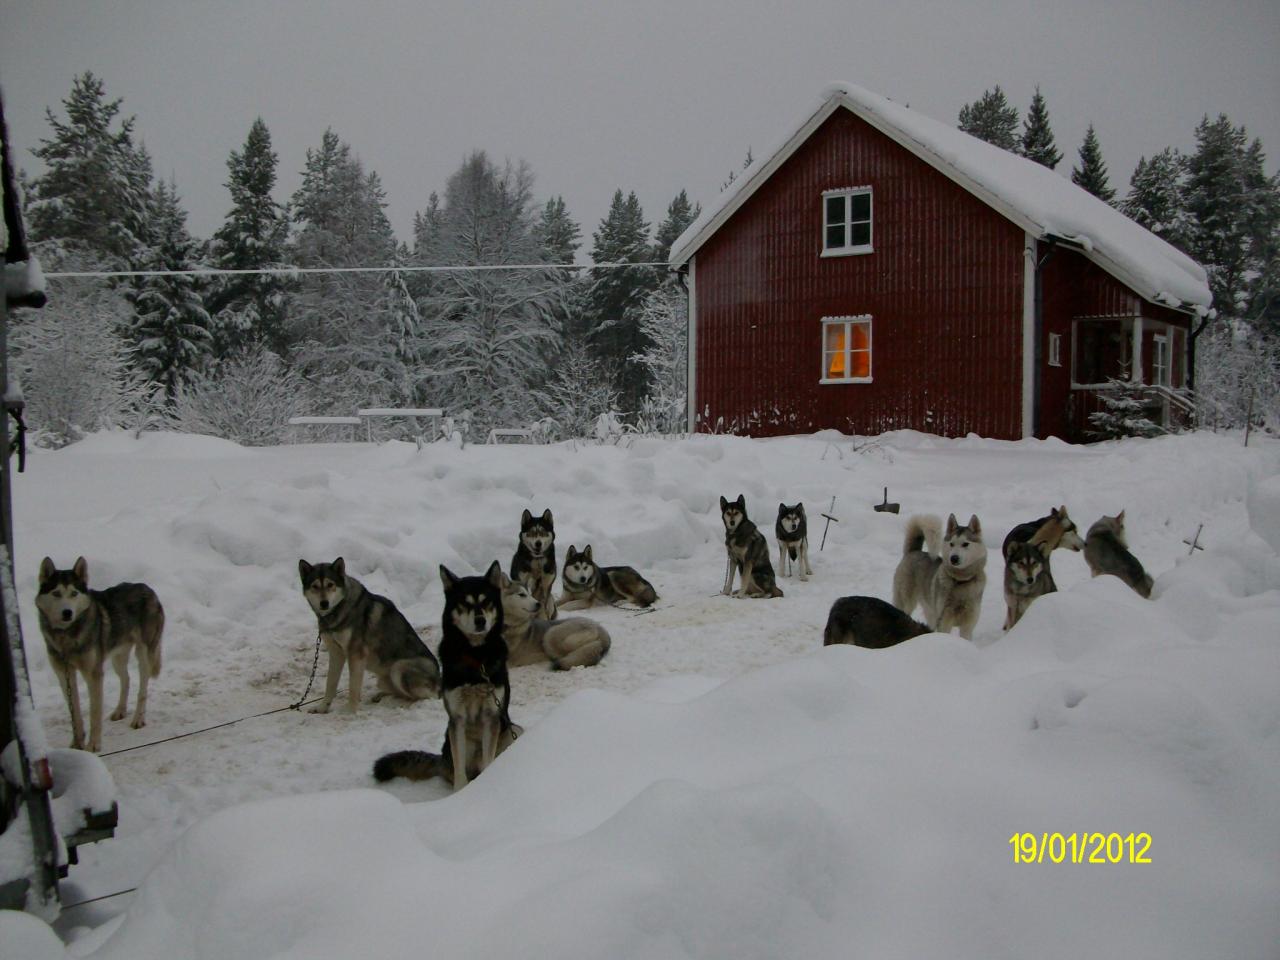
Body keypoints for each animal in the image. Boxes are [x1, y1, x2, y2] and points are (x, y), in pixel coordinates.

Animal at [36, 560, 163, 757]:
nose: (67, 612)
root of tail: (148, 589)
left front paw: (94, 745)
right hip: (117, 657)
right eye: (56, 593)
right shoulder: (64, 675)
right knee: (126, 679)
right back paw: (120, 710)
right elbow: (75, 713)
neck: (66, 637)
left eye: (74, 593)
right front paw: (77, 742)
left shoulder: (94, 675)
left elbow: (94, 714)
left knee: (142, 688)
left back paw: (138, 719)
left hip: (144, 654)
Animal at [298, 555, 440, 716]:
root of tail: (439, 679)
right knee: (400, 693)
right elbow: (330, 684)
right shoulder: (336, 653)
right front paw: (323, 708)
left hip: (398, 668)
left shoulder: (356, 654)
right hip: (383, 679)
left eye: (330, 585)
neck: (339, 611)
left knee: (426, 697)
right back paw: (381, 696)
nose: (324, 603)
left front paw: (350, 712)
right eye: (315, 586)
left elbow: (353, 687)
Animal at [373, 563, 517, 788]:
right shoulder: (457, 719)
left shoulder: (492, 717)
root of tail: (441, 760)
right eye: (464, 603)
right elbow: (459, 771)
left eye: (486, 601)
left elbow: (488, 760)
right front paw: (462, 790)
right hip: (454, 741)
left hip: (511, 729)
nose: (480, 620)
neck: (476, 658)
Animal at [896, 514, 983, 642]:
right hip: (906, 603)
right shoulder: (944, 621)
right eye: (951, 544)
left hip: (930, 611)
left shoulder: (968, 624)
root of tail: (914, 551)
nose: (954, 558)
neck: (960, 582)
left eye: (965, 544)